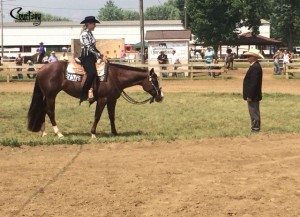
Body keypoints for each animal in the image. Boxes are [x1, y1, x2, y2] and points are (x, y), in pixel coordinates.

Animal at [27, 60, 164, 138]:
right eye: (154, 81)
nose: (161, 96)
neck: (114, 76)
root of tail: (41, 70)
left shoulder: (112, 100)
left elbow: (111, 116)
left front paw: (115, 132)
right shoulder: (102, 100)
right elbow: (97, 116)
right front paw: (93, 134)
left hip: (47, 95)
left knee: (43, 110)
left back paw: (43, 132)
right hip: (51, 95)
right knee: (50, 111)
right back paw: (59, 133)